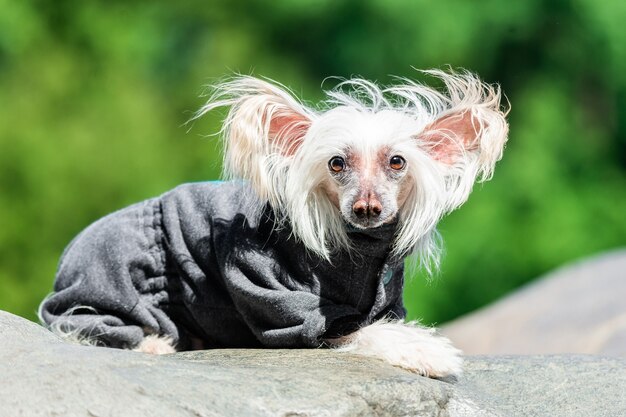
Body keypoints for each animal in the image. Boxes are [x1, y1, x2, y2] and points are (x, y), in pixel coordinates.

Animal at [37, 70, 508, 378]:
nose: (367, 208)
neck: (360, 252)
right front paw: (427, 351)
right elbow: (364, 333)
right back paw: (153, 344)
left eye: (397, 162)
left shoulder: (385, 301)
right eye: (336, 163)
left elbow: (380, 322)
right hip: (108, 296)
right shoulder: (283, 305)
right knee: (82, 327)